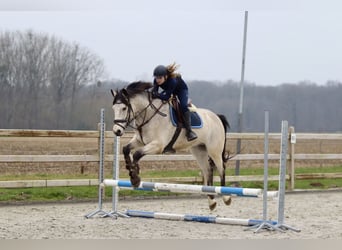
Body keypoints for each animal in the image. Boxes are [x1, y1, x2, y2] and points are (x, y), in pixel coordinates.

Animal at [111, 81, 231, 210]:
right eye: (113, 108)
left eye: (124, 108)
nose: (117, 131)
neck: (150, 115)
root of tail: (217, 117)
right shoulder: (139, 141)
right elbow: (125, 149)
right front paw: (131, 170)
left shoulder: (158, 146)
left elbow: (137, 154)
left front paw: (135, 178)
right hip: (199, 150)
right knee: (208, 170)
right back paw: (211, 201)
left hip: (214, 151)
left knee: (221, 169)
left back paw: (226, 197)